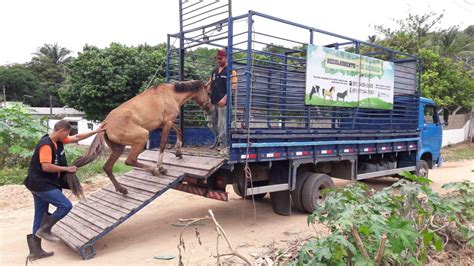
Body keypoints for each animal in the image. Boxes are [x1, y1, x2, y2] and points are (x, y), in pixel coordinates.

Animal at [73, 80, 210, 194]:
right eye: (209, 92)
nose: (209, 108)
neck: (170, 94)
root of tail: (105, 124)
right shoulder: (167, 123)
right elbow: (163, 143)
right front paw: (161, 167)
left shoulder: (166, 123)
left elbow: (179, 131)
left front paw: (178, 152)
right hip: (142, 136)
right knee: (130, 160)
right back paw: (154, 170)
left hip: (119, 148)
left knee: (108, 167)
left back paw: (122, 189)